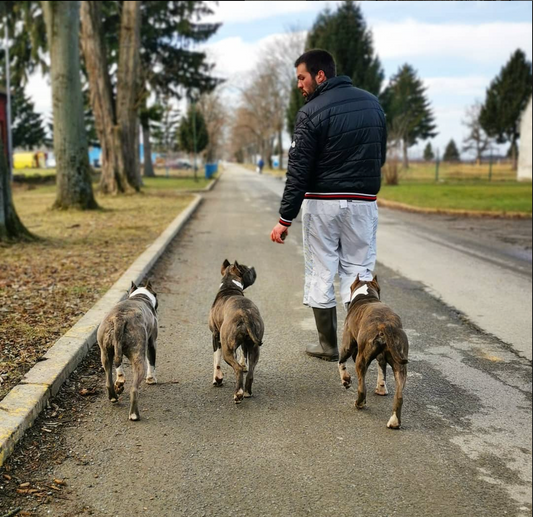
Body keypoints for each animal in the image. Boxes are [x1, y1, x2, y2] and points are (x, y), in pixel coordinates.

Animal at [96, 278, 158, 420]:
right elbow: (152, 362)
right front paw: (151, 379)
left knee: (109, 379)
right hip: (138, 359)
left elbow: (119, 368)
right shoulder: (151, 344)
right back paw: (134, 414)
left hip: (105, 354)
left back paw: (114, 397)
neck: (140, 296)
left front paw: (120, 381)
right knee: (134, 389)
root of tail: (120, 319)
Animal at [207, 258, 262, 404]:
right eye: (247, 269)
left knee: (236, 369)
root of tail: (245, 314)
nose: (253, 267)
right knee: (250, 373)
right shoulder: (244, 344)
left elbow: (216, 360)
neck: (229, 286)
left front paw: (217, 379)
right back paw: (247, 392)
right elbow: (242, 355)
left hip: (227, 350)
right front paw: (243, 364)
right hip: (254, 348)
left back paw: (238, 393)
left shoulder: (215, 336)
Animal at [338, 274, 410, 428]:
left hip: (361, 359)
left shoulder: (348, 344)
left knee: (362, 388)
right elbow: (382, 372)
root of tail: (386, 325)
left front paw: (346, 380)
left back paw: (359, 404)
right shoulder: (382, 357)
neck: (367, 296)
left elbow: (341, 362)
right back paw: (394, 422)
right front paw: (381, 389)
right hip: (400, 366)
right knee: (399, 395)